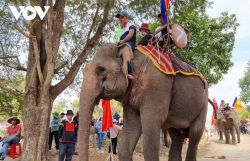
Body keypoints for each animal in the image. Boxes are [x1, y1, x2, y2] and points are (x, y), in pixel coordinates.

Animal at [79, 43, 210, 161]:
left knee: (195, 134)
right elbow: (129, 135)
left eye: (100, 69)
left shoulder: (156, 87)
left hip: (203, 102)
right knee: (175, 137)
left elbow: (151, 129)